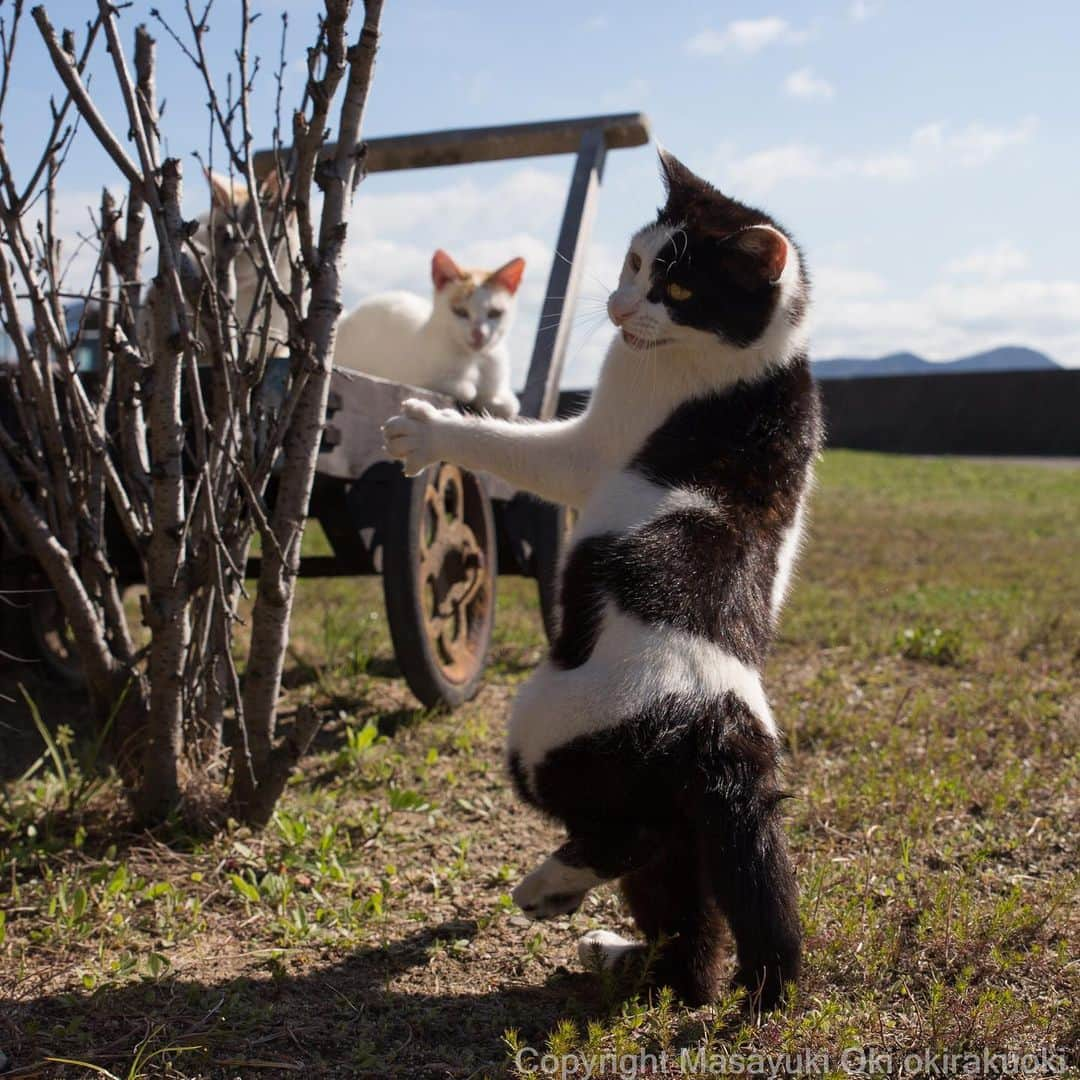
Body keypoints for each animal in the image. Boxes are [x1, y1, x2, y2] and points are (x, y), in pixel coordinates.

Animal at [334, 250, 524, 419]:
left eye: (495, 313)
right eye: (460, 311)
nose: (478, 333)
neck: (475, 360)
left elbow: (509, 404)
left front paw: (494, 400)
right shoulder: (417, 377)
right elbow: (464, 389)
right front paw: (470, 388)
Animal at [384, 147, 820, 1006]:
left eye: (679, 290)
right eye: (636, 260)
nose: (619, 307)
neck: (750, 368)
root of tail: (715, 725)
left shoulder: (586, 452)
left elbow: (510, 444)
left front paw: (429, 429)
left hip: (538, 735)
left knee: (631, 838)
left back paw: (544, 889)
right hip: (702, 830)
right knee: (693, 938)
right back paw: (617, 953)